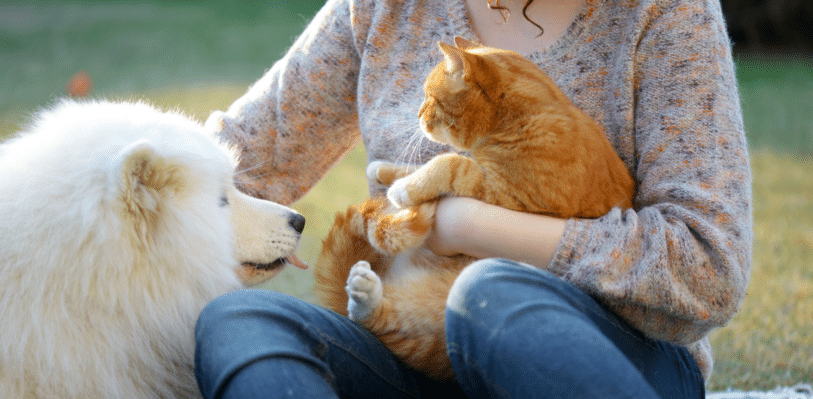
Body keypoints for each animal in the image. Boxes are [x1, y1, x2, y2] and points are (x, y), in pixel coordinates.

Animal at [312, 36, 636, 382]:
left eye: (430, 97)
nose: (418, 114)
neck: (524, 118)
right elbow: (424, 163)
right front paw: (385, 171)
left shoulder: (509, 195)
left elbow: (450, 162)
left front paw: (404, 189)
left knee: (382, 321)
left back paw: (364, 295)